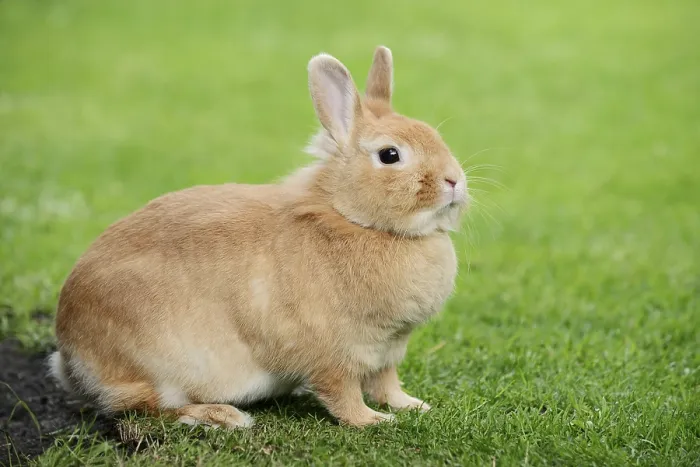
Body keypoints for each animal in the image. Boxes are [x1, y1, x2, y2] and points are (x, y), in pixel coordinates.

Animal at [49, 46, 469, 429]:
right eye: (390, 155)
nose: (454, 180)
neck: (353, 219)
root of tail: (70, 353)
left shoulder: (388, 350)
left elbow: (387, 384)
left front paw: (413, 406)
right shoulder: (334, 353)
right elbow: (343, 395)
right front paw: (375, 422)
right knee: (144, 406)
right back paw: (222, 416)